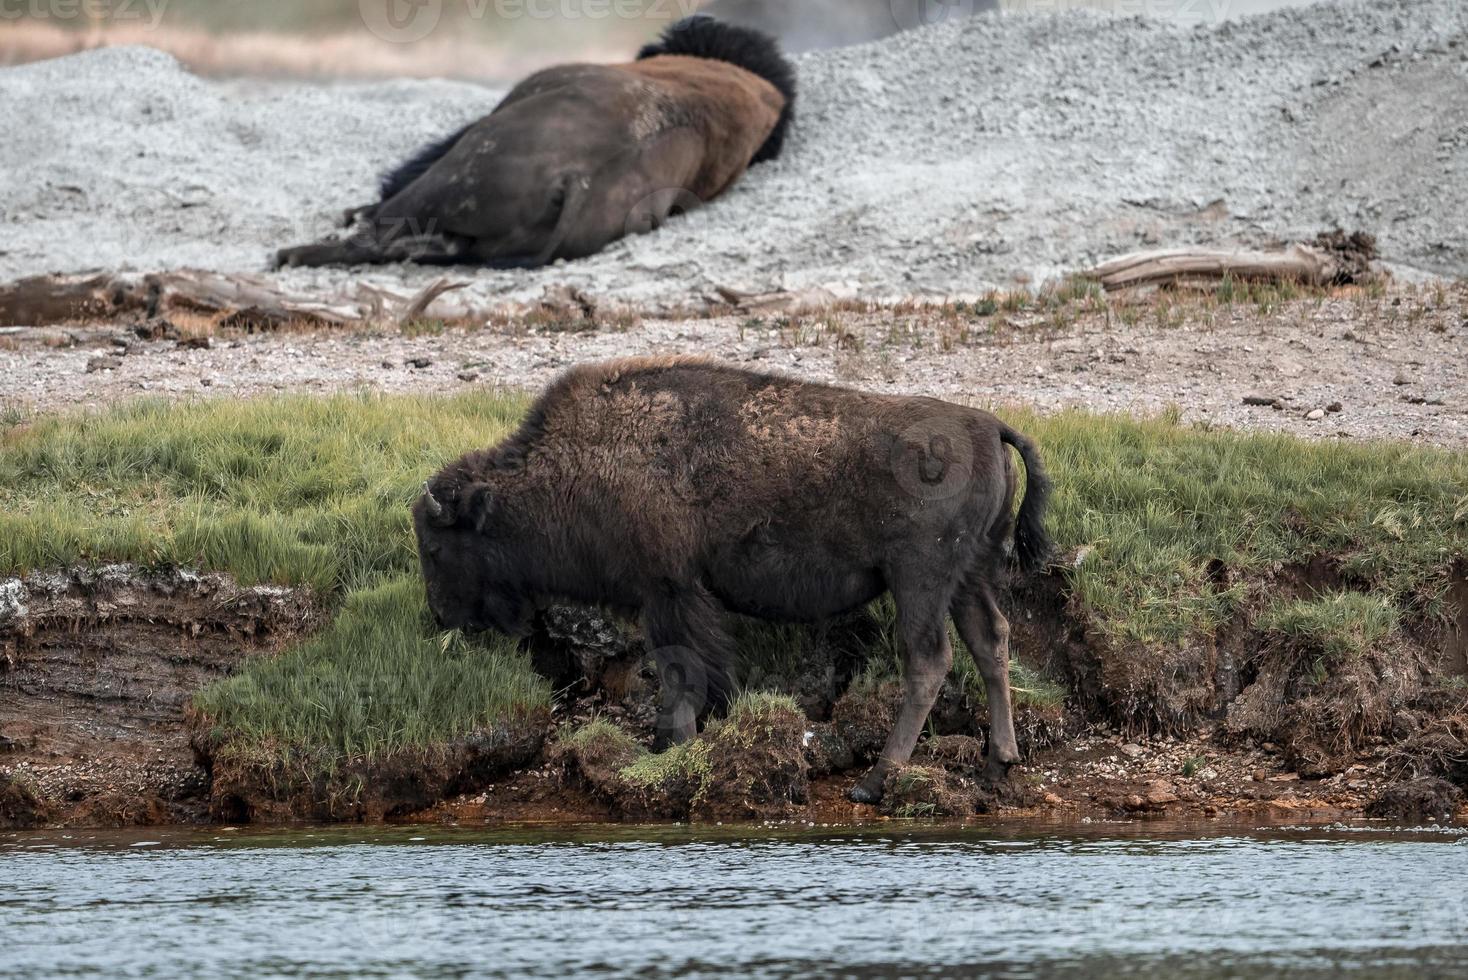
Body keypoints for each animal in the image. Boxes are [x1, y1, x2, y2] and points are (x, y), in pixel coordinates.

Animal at [416, 359, 1056, 803]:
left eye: (436, 544)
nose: (443, 616)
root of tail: (989, 425)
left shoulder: (668, 591)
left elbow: (682, 672)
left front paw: (672, 749)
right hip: (968, 577)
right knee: (991, 642)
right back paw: (997, 764)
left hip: (918, 579)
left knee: (928, 660)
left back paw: (875, 781)